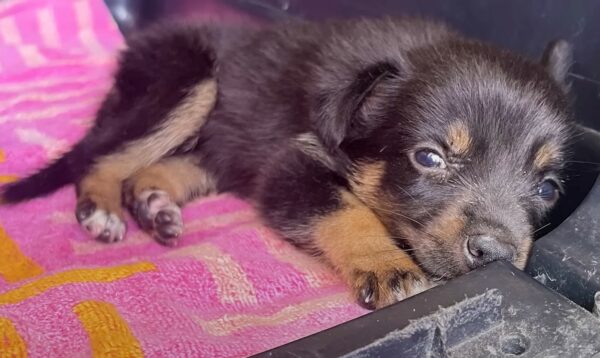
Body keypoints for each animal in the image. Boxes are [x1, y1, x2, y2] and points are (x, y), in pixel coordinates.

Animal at [0, 18, 572, 310]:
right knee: (101, 156)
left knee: (172, 163)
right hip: (187, 78)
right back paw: (100, 210)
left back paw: (155, 202)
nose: (496, 254)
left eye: (547, 189)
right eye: (428, 158)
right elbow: (345, 210)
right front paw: (388, 267)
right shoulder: (290, 164)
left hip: (227, 135)